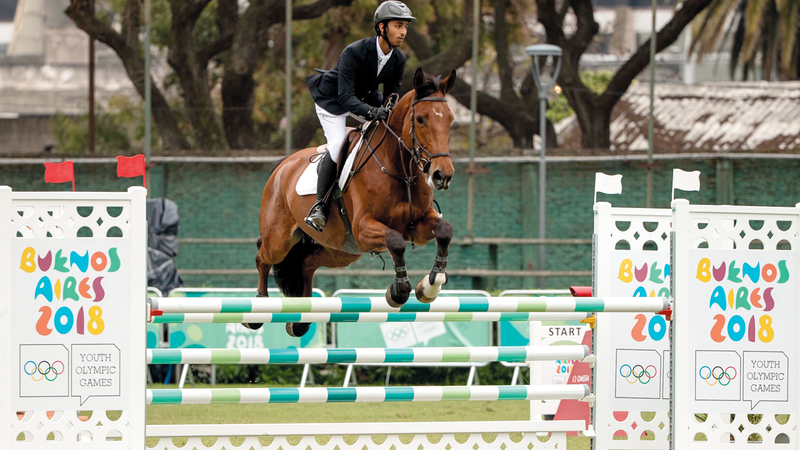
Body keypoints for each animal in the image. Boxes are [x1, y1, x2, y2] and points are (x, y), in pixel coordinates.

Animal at [256, 68, 456, 336]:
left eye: (450, 120)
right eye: (422, 119)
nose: (442, 175)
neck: (399, 169)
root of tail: (282, 167)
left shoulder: (419, 226)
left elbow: (444, 230)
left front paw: (430, 286)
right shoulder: (363, 228)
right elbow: (395, 241)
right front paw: (399, 291)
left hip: (341, 249)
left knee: (307, 263)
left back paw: (302, 319)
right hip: (279, 241)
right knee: (263, 257)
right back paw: (258, 310)